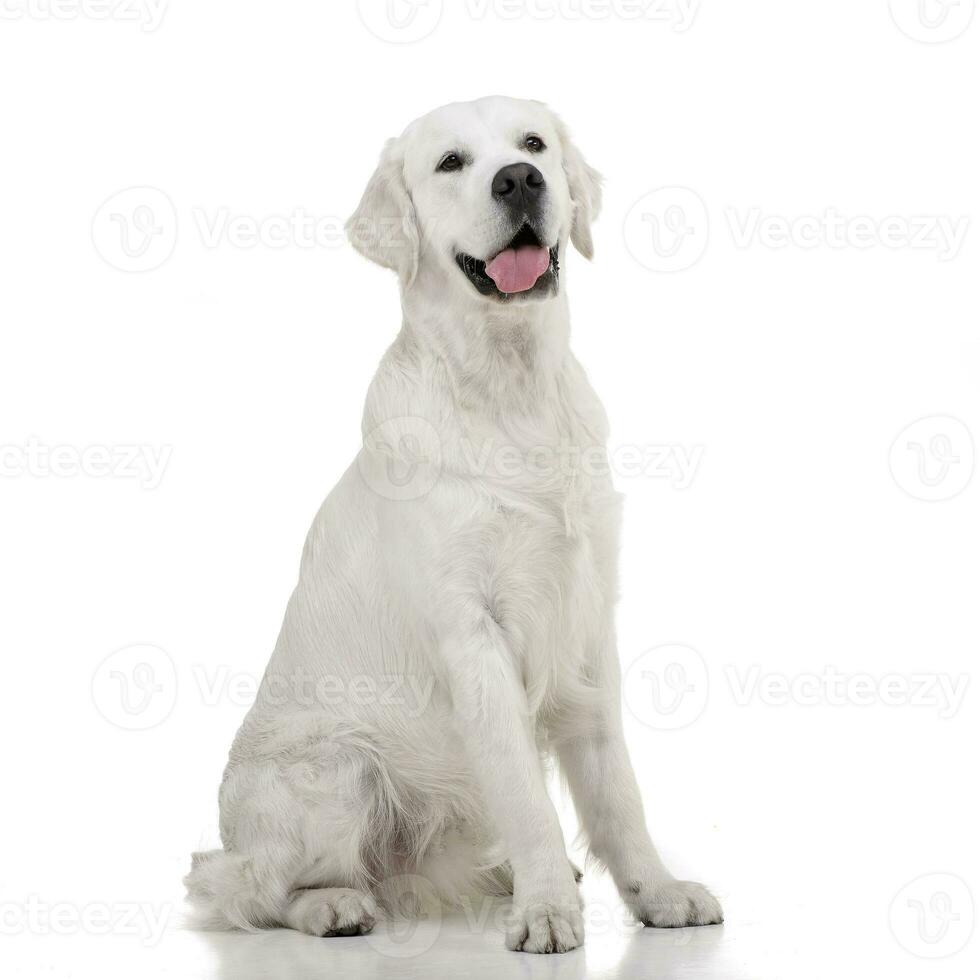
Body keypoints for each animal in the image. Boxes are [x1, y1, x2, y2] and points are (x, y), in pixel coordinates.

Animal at [186, 95, 720, 952]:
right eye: (449, 163)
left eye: (533, 142)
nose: (520, 179)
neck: (512, 387)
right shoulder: (472, 634)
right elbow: (526, 794)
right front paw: (545, 908)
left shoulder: (585, 622)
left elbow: (617, 788)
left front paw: (657, 892)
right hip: (337, 769)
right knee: (245, 887)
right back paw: (335, 905)